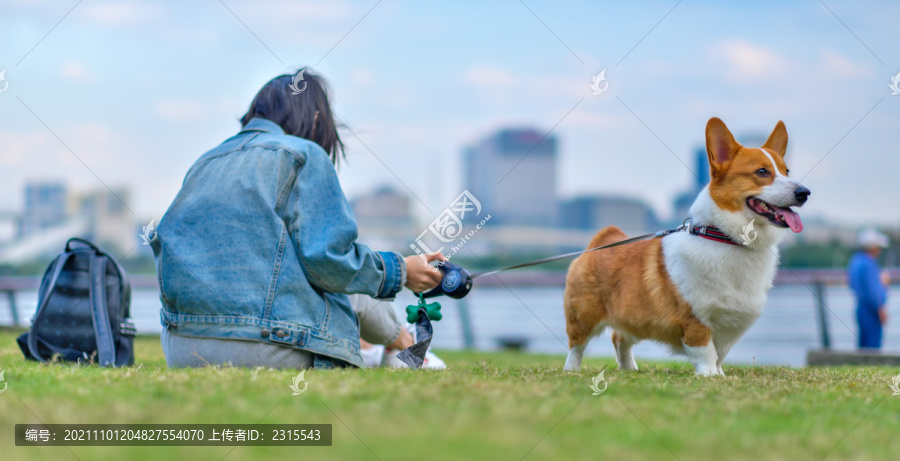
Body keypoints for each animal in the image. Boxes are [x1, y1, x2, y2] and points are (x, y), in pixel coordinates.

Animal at [564, 117, 808, 376]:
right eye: (761, 172)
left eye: (787, 171)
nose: (804, 192)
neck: (726, 238)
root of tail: (603, 239)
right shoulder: (695, 318)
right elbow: (705, 350)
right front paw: (709, 375)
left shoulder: (728, 326)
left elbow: (720, 353)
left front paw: (720, 375)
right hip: (584, 316)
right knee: (576, 346)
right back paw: (571, 370)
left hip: (634, 317)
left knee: (620, 338)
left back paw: (629, 368)